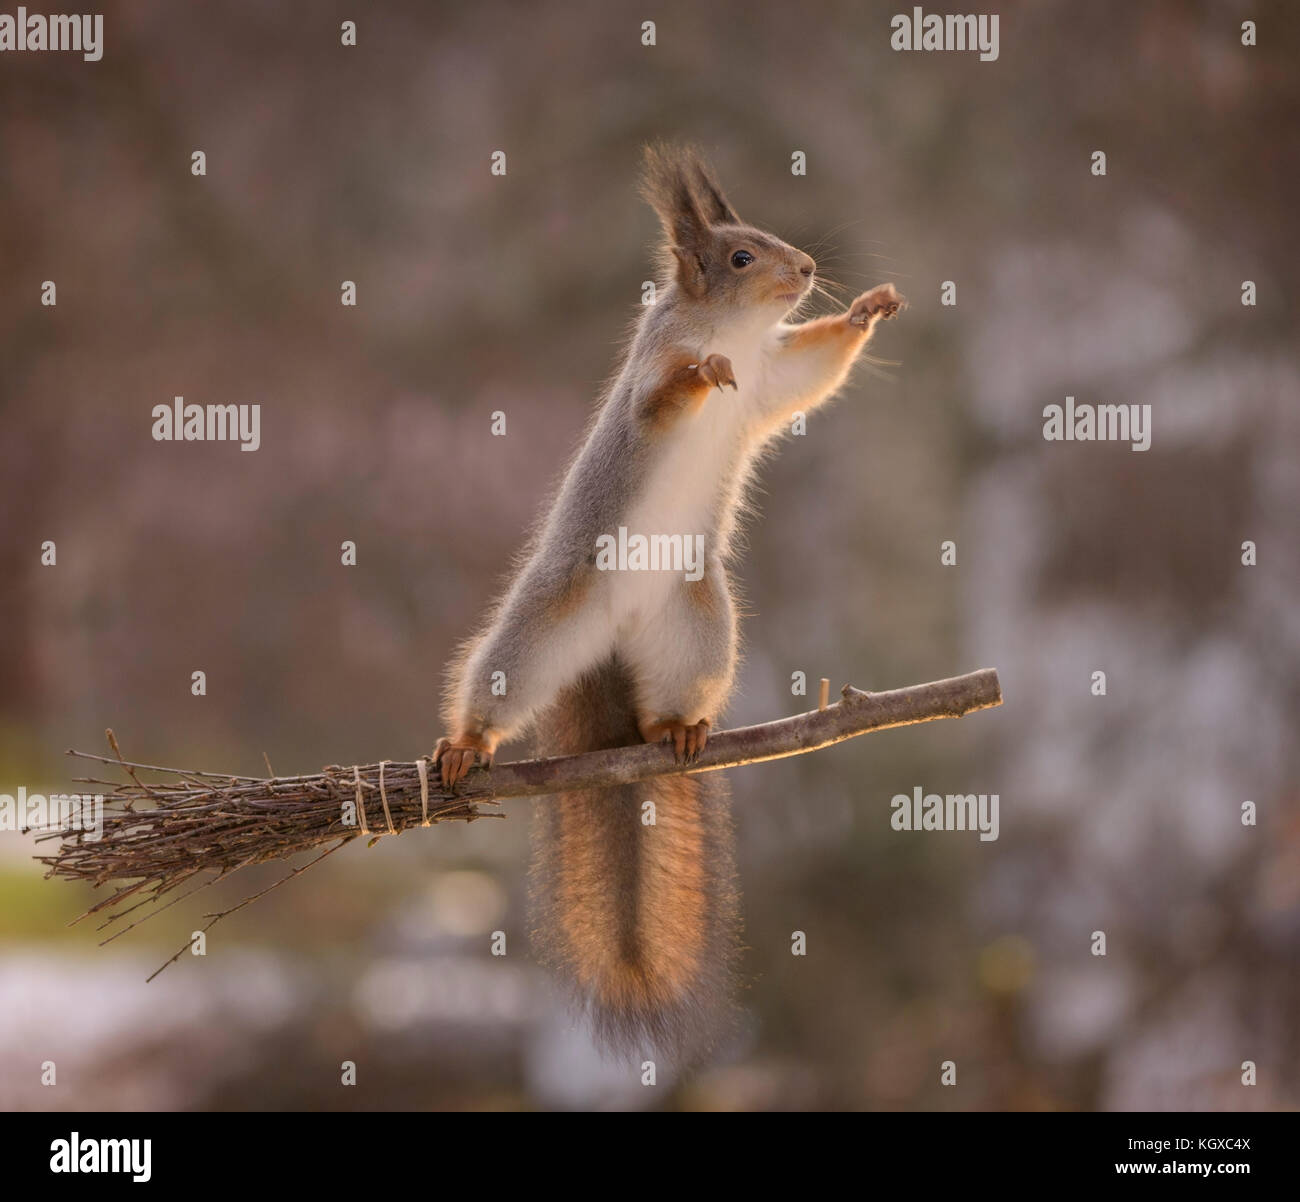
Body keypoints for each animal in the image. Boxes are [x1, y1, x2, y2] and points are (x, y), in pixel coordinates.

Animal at [436, 142, 904, 1060]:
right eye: (741, 256)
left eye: (769, 238)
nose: (808, 267)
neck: (733, 332)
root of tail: (610, 650)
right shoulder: (651, 383)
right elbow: (665, 397)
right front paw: (703, 374)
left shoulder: (775, 378)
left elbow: (813, 373)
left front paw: (868, 309)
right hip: (551, 614)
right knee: (501, 679)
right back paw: (467, 744)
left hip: (696, 624)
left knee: (666, 702)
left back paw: (674, 729)